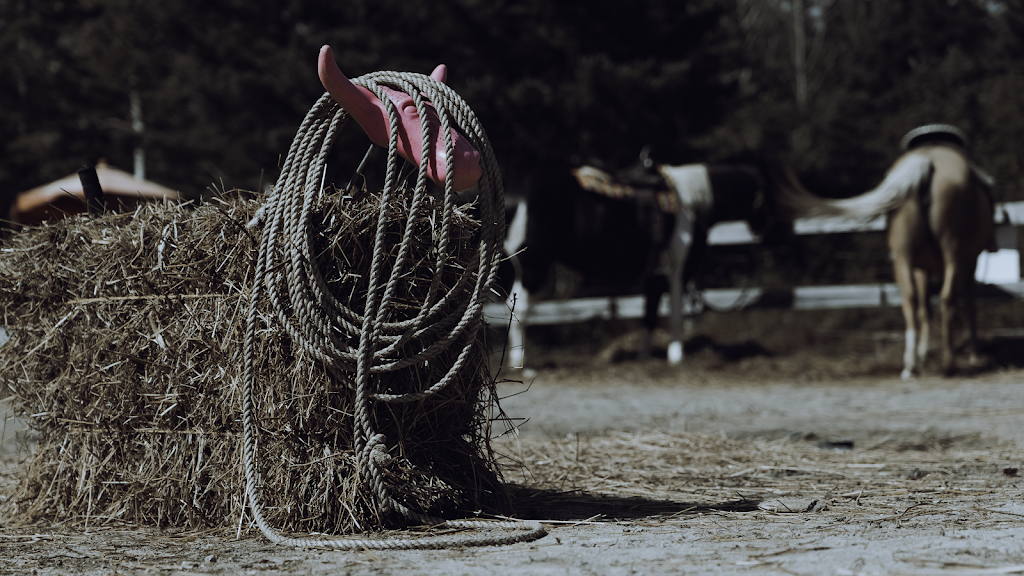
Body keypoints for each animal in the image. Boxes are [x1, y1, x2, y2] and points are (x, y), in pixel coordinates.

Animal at [503, 151, 798, 366]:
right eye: (772, 195)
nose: (783, 233)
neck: (691, 202)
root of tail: (517, 191)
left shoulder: (654, 272)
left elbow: (650, 313)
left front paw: (645, 357)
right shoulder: (678, 269)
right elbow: (676, 310)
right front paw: (676, 357)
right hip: (533, 265)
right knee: (521, 308)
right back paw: (522, 363)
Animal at [774, 124, 991, 377]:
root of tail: (927, 161)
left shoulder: (922, 267)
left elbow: (925, 308)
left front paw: (923, 354)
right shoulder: (969, 262)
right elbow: (969, 305)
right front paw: (974, 354)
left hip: (904, 259)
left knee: (911, 301)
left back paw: (911, 366)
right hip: (953, 256)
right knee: (948, 300)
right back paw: (948, 363)